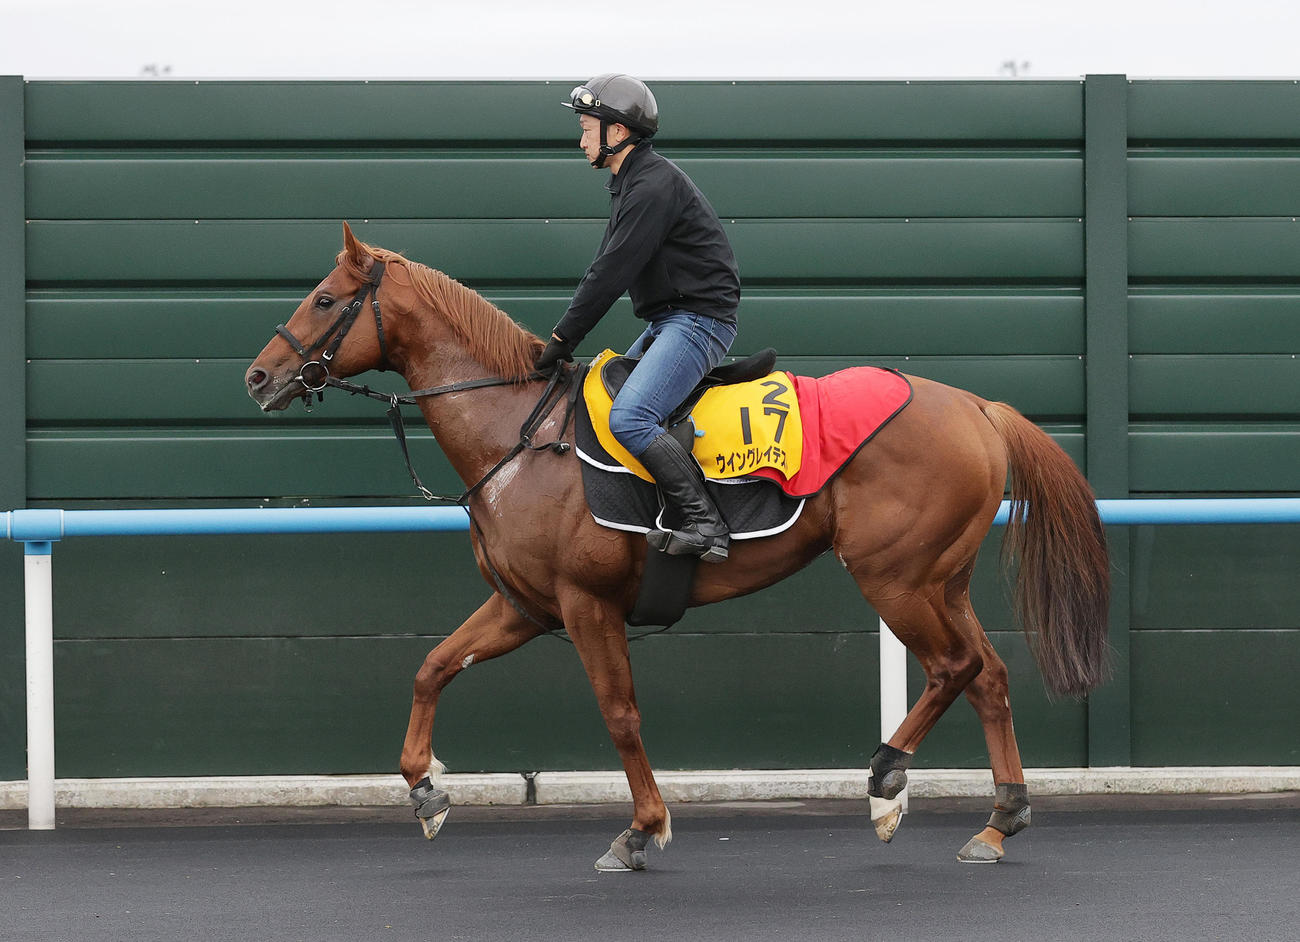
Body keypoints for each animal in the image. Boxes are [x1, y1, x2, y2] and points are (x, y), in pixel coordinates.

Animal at [245, 223, 1110, 870]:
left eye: (325, 298)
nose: (258, 376)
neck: (519, 435)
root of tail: (976, 405)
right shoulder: (523, 605)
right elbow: (431, 667)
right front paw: (426, 792)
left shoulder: (586, 603)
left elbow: (620, 713)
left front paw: (642, 828)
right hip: (940, 580)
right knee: (988, 676)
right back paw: (998, 819)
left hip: (895, 579)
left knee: (954, 667)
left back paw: (887, 781)